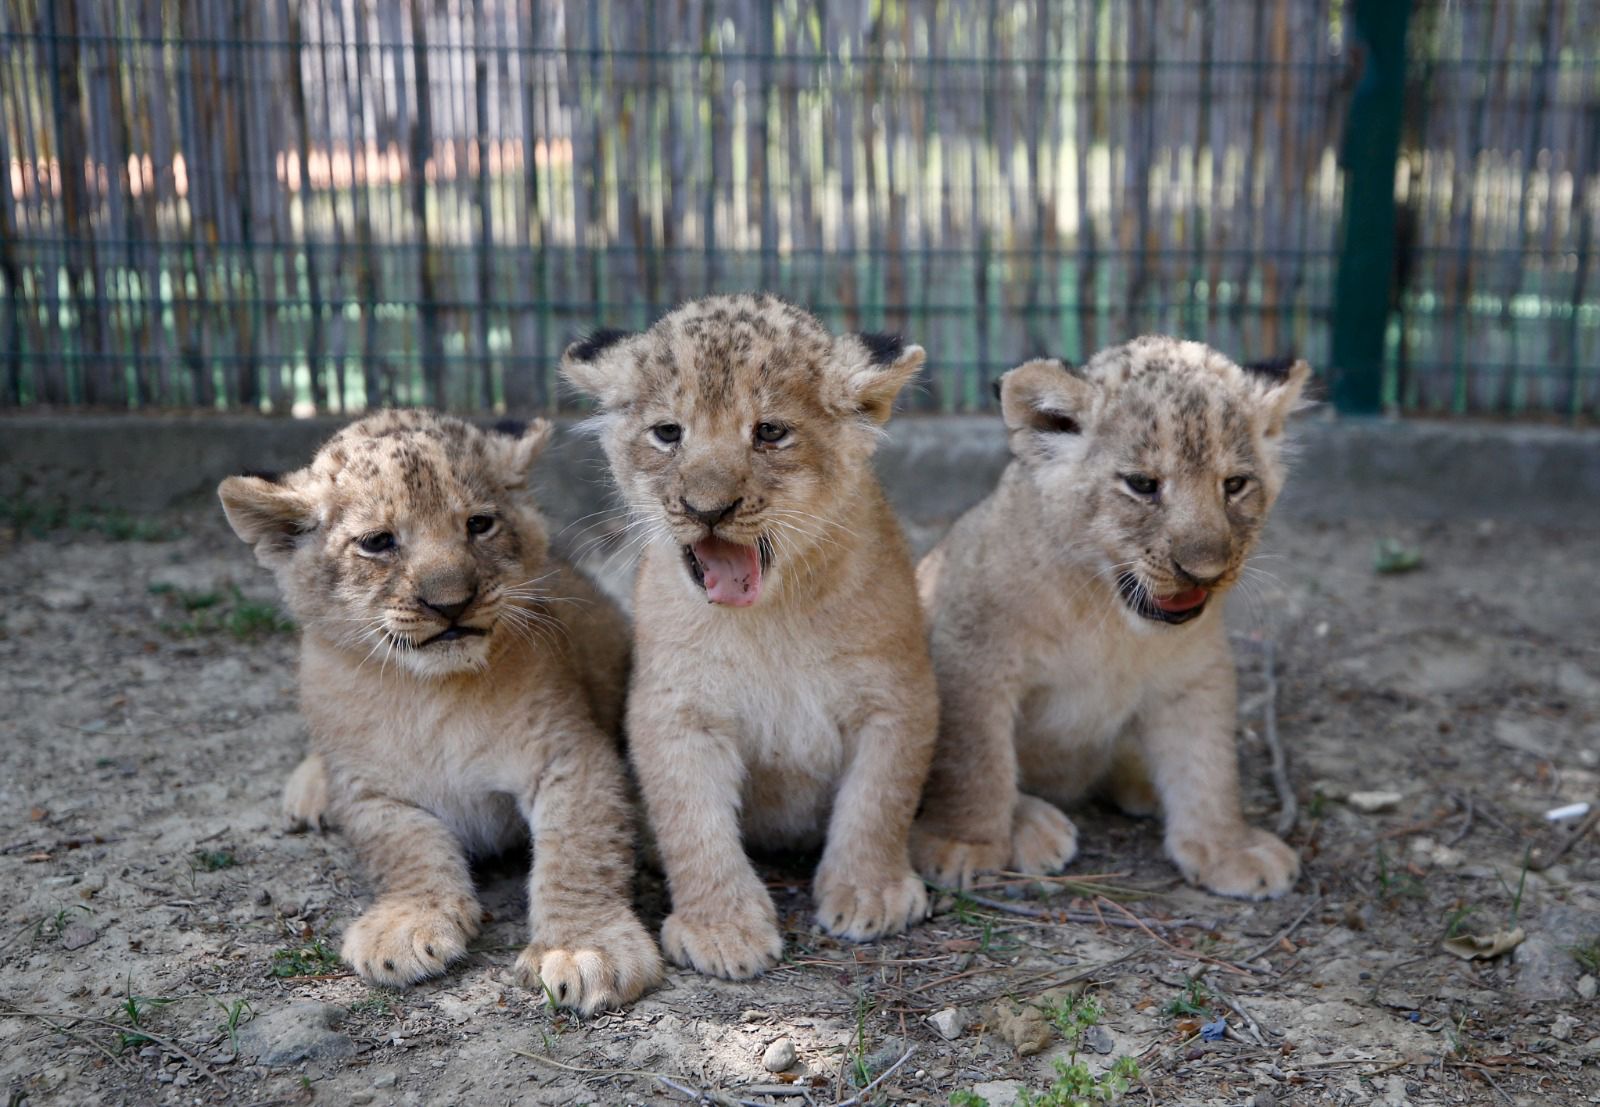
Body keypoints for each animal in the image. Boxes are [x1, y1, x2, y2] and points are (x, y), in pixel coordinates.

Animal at [218, 410, 662, 1012]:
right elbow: (406, 848)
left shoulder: (572, 758)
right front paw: (405, 926)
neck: (430, 694)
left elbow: (579, 851)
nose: (450, 603)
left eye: (479, 524)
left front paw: (584, 948)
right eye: (378, 542)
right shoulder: (370, 792)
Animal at [562, 293, 938, 979]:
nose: (707, 509)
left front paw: (869, 893)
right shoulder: (675, 710)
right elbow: (693, 821)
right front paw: (722, 928)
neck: (770, 616)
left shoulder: (897, 694)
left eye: (769, 432)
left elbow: (879, 800)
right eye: (668, 433)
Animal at [912, 338, 1310, 900]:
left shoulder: (1195, 674)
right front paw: (961, 843)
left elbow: (1208, 764)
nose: (1204, 572)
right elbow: (977, 761)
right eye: (1143, 484)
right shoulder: (971, 658)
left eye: (1235, 484)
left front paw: (1227, 848)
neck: (1109, 618)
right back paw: (1034, 826)